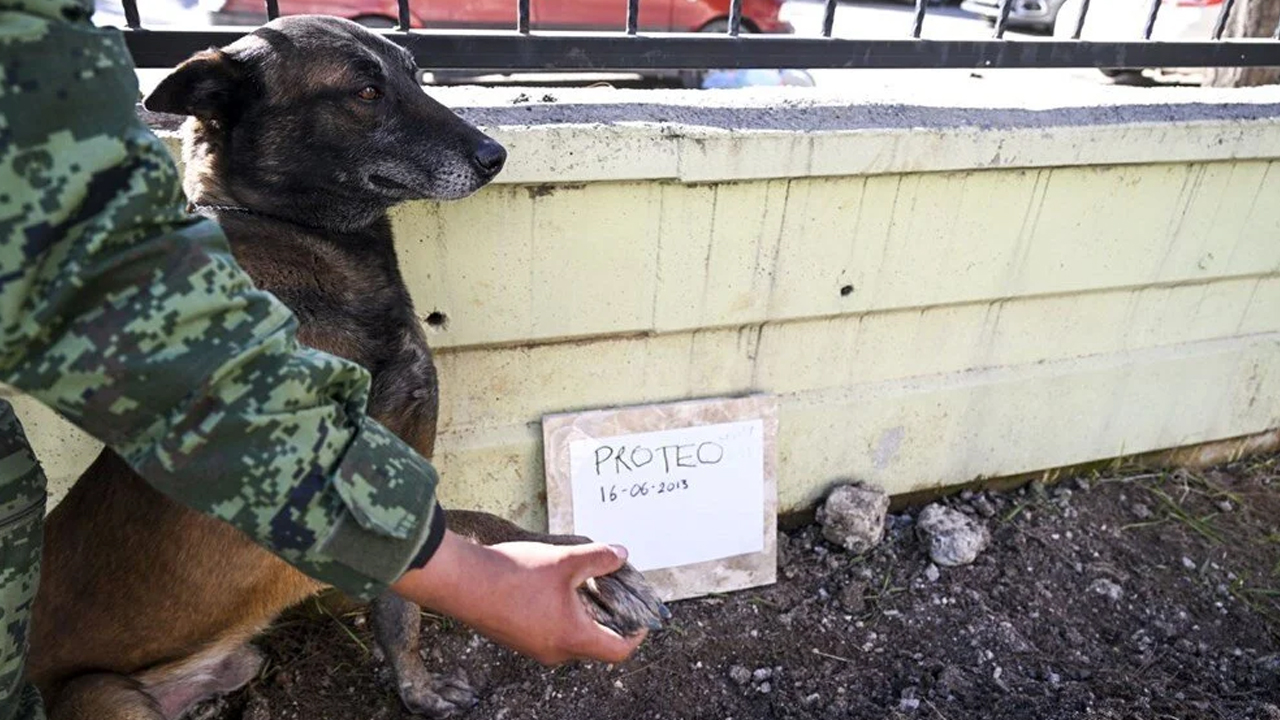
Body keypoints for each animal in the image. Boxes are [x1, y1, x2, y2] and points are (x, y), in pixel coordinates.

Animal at [27, 15, 670, 717]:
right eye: (365, 91)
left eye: (415, 75)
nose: (495, 155)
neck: (308, 244)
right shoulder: (341, 497)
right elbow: (478, 524)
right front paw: (597, 568)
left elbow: (402, 610)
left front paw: (416, 689)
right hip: (104, 694)